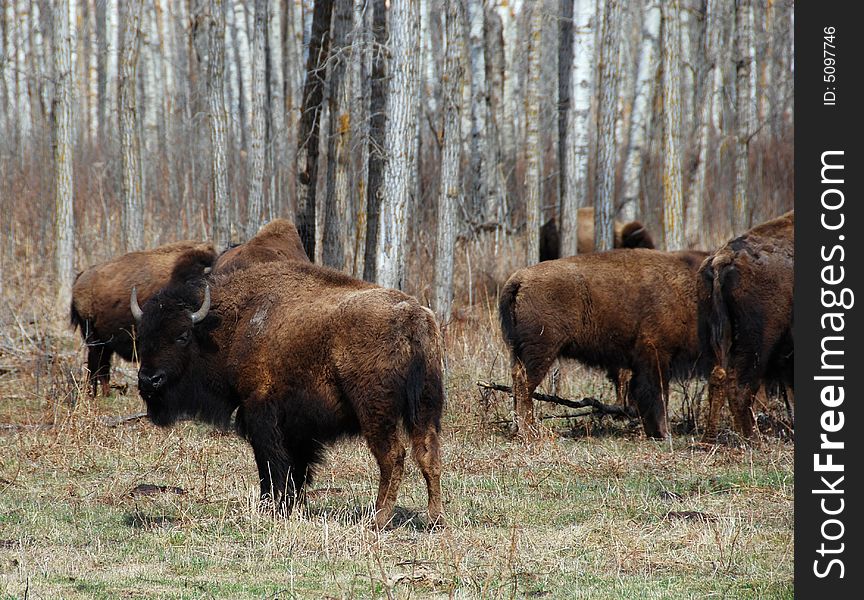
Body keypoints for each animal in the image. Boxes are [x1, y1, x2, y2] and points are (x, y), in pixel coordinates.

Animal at [133, 262, 452, 528]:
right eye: (143, 336)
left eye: (182, 336)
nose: (149, 380)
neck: (236, 321)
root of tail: (412, 317)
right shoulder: (298, 427)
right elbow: (296, 467)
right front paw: (291, 505)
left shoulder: (261, 413)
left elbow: (272, 463)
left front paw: (273, 506)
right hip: (426, 408)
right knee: (428, 456)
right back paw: (435, 519)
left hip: (376, 411)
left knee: (392, 457)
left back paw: (378, 518)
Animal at [500, 246, 708, 438]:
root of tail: (520, 278)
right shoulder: (657, 354)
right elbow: (658, 394)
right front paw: (663, 433)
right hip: (541, 350)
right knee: (525, 383)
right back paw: (528, 431)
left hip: (519, 351)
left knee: (517, 380)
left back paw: (518, 428)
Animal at [700, 211, 792, 440]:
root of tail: (721, 259)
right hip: (758, 342)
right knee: (740, 386)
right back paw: (753, 439)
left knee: (718, 379)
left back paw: (708, 440)